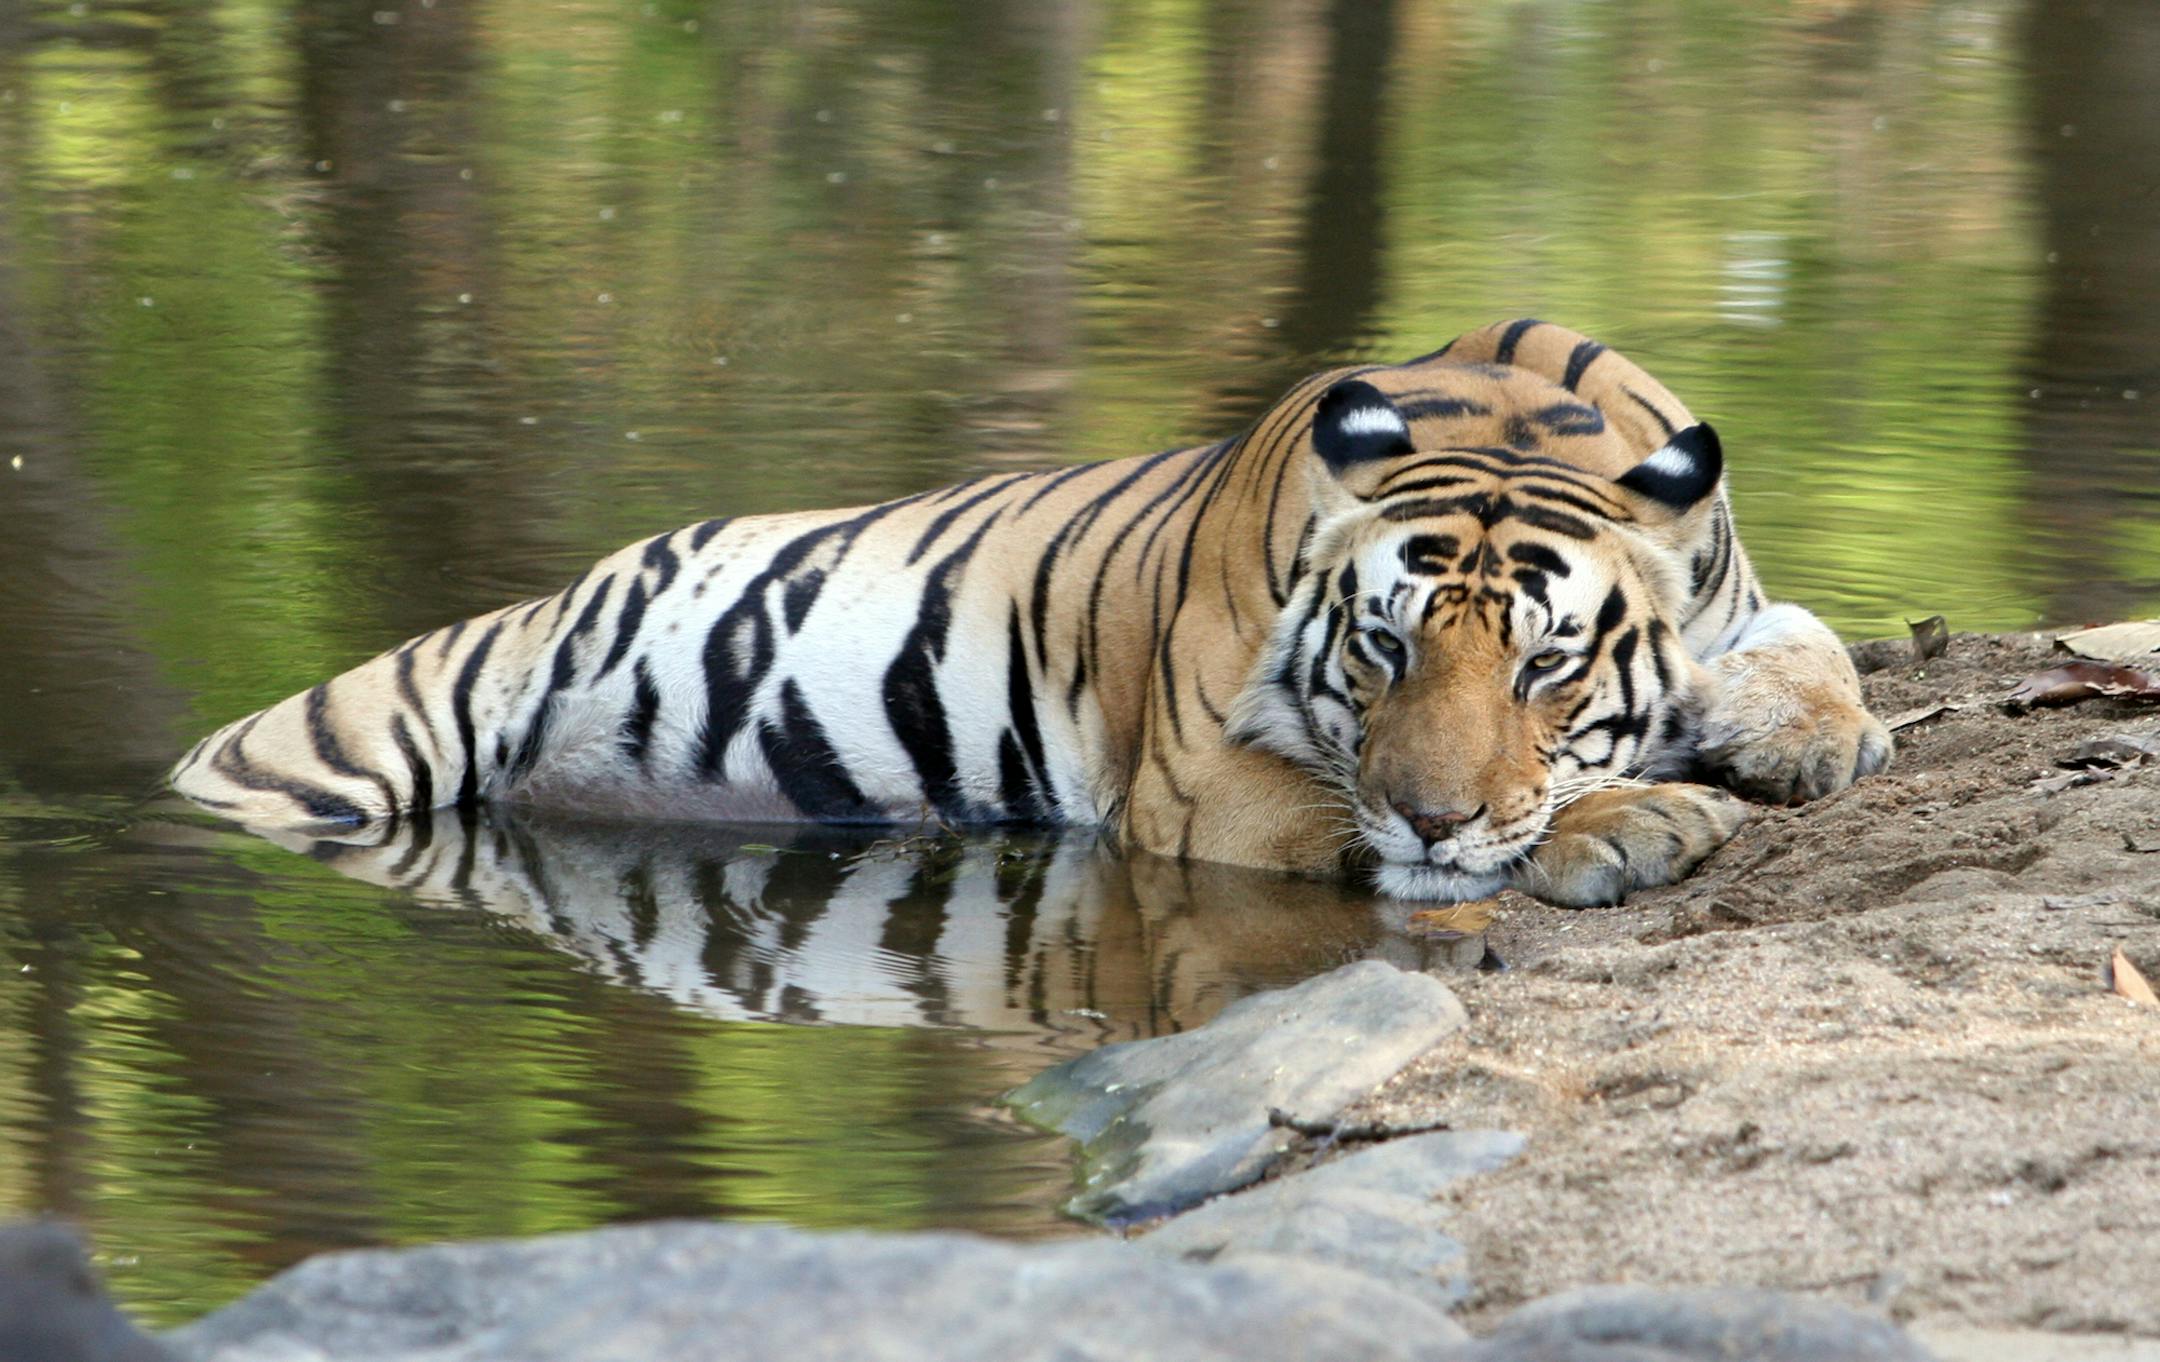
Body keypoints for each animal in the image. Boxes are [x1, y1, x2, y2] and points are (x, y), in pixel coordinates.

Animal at [170, 319, 1893, 906]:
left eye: (1545, 668)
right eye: (1385, 646)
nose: (1432, 812)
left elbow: (1813, 639)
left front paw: (1813, 740)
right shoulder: (1193, 784)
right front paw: (1629, 822)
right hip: (335, 747)